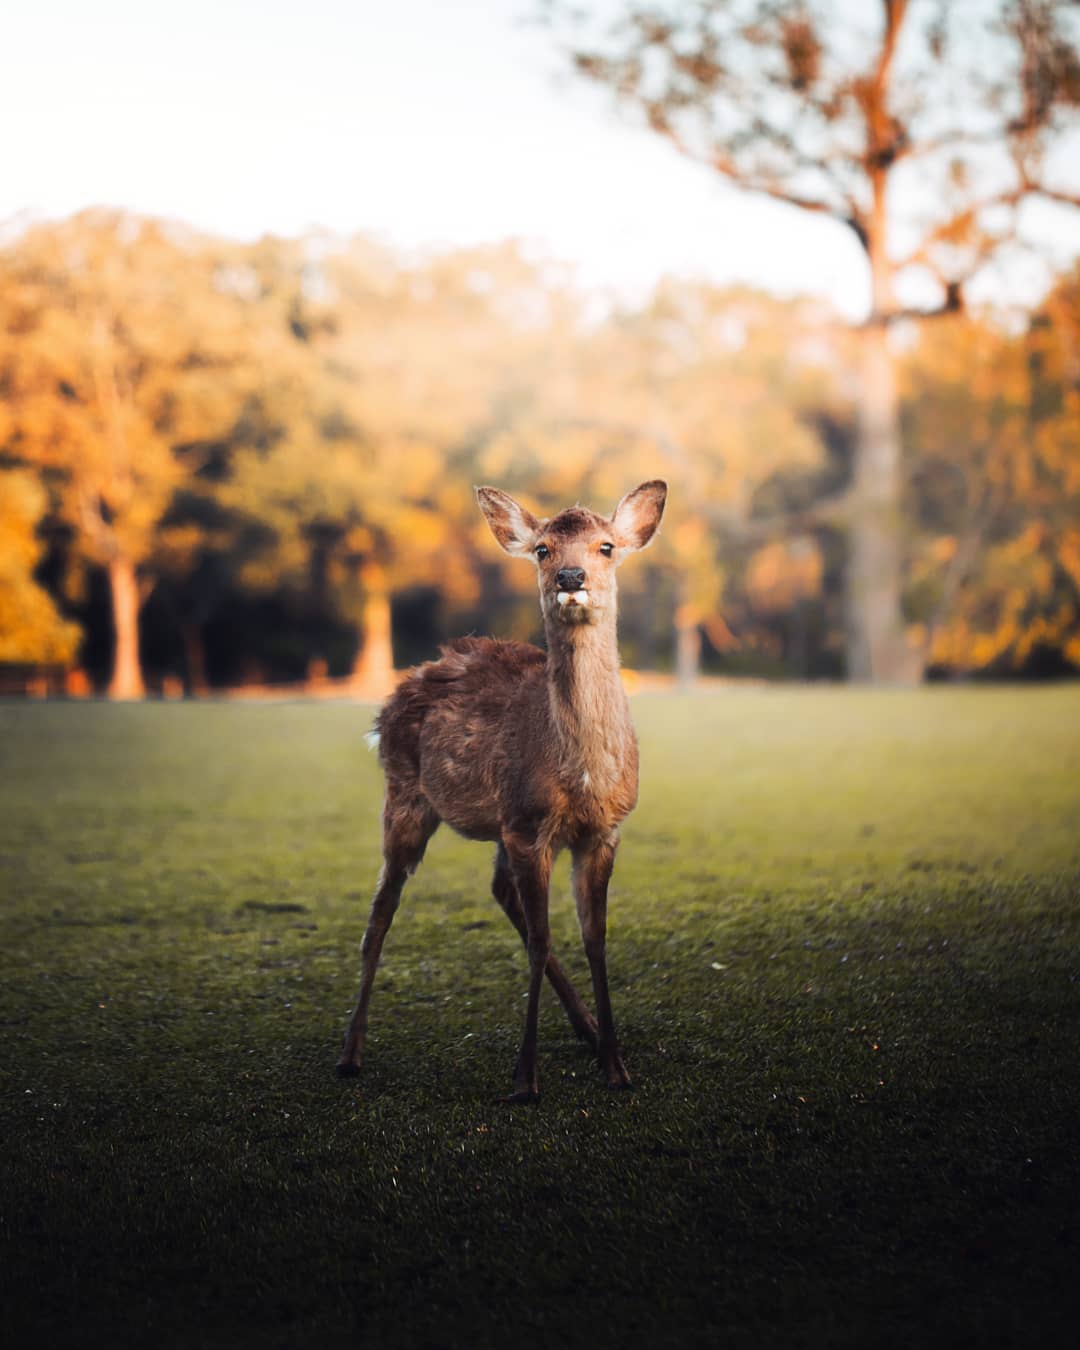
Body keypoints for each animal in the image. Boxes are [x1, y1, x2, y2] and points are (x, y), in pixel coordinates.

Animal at [337, 480, 666, 1101]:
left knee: (497, 889)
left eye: (606, 547)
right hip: (405, 796)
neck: (581, 775)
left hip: (492, 824)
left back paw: (588, 1031)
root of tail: (391, 700)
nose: (570, 576)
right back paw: (350, 1054)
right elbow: (540, 940)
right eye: (542, 549)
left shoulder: (602, 831)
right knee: (381, 912)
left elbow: (595, 937)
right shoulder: (529, 827)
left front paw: (616, 1065)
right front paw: (525, 1079)